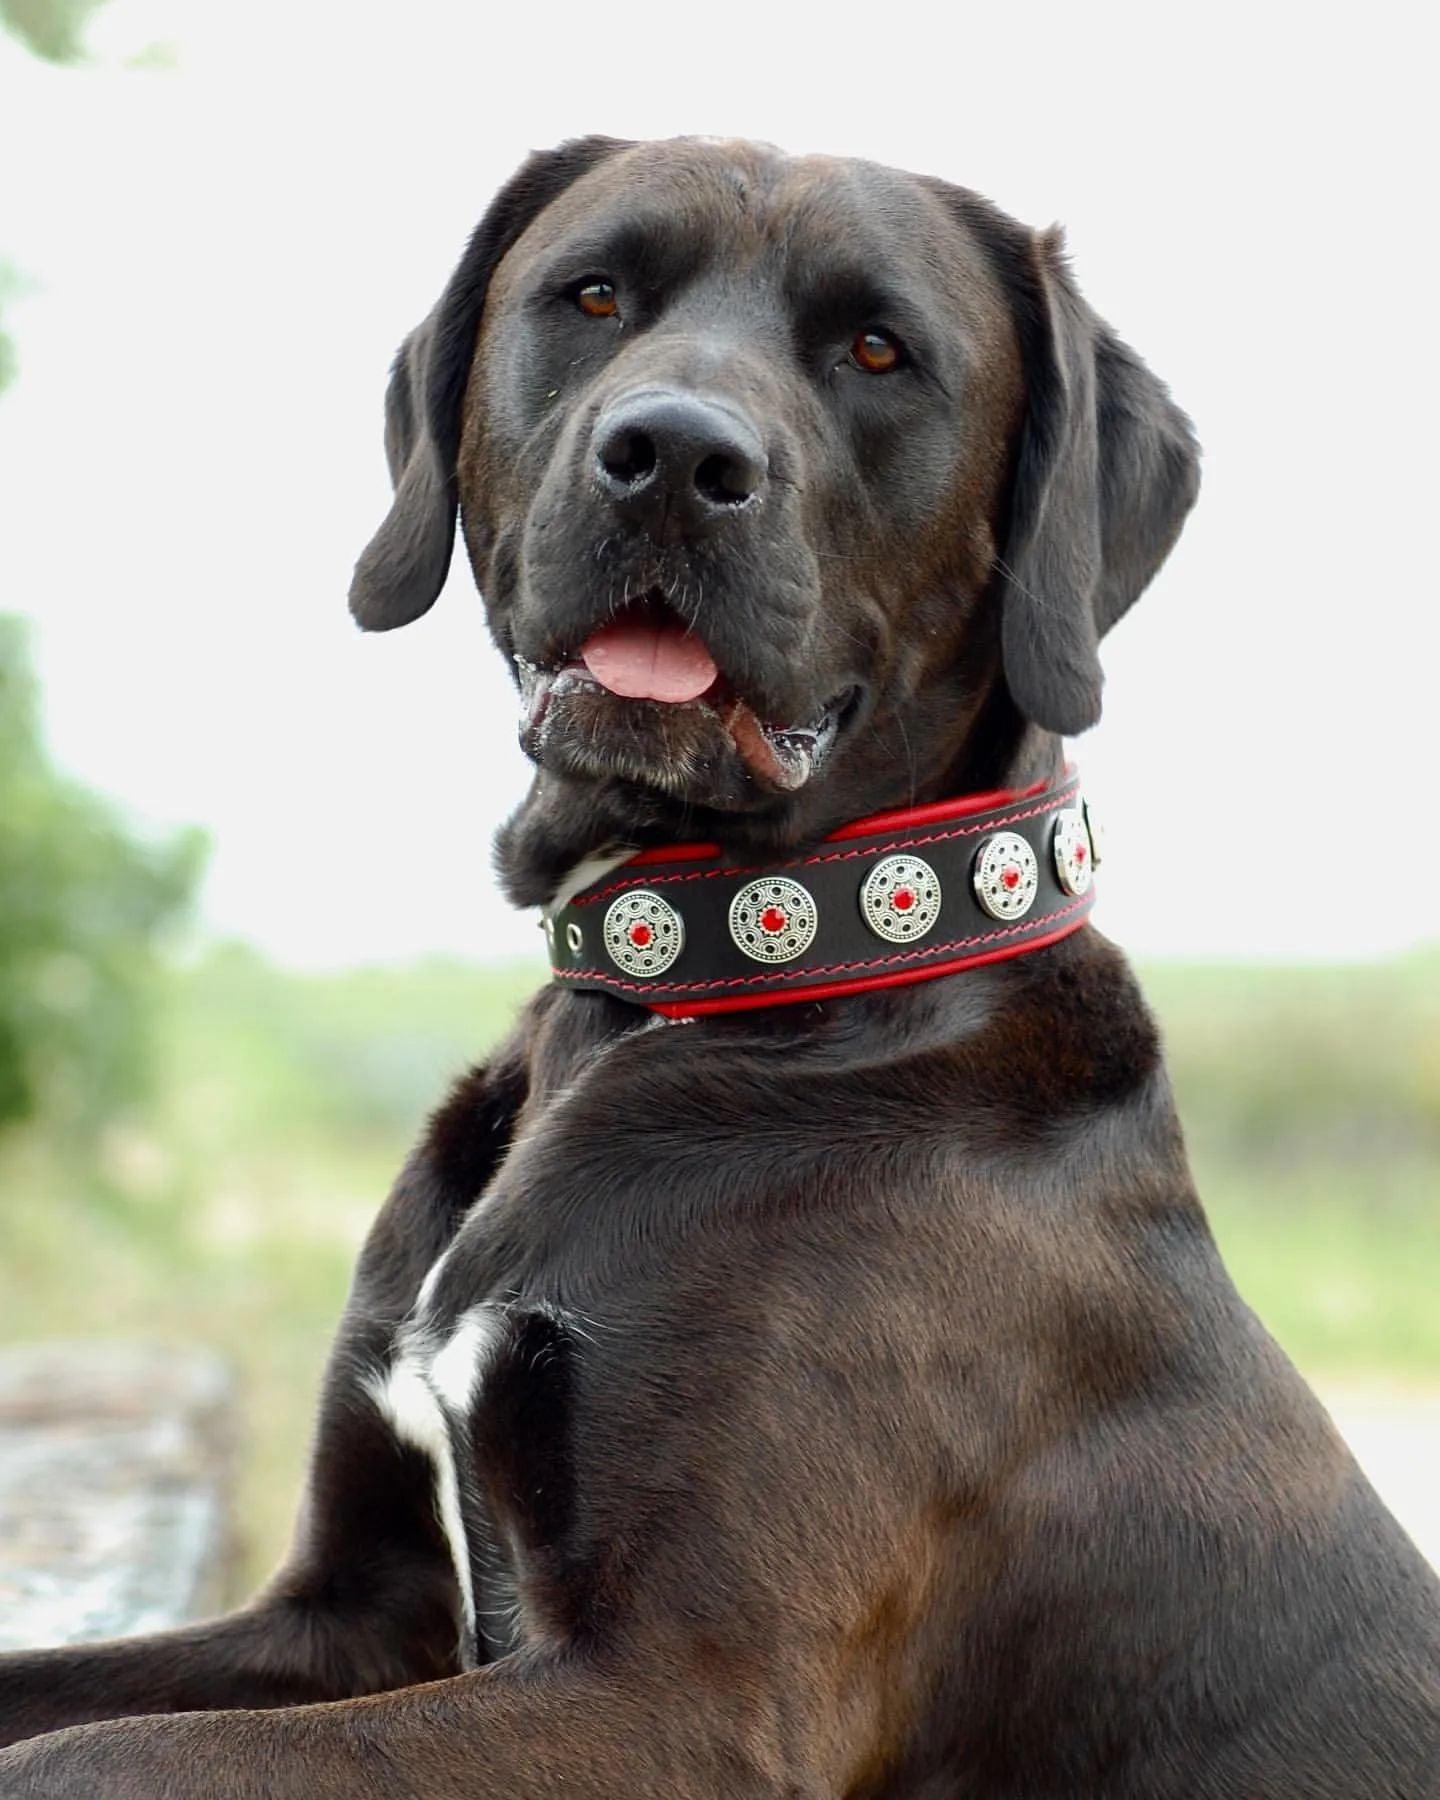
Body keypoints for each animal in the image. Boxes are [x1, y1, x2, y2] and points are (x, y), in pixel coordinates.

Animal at [2, 136, 1440, 1800]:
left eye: (878, 349)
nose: (675, 457)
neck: (679, 982)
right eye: (594, 295)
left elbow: (94, 1754)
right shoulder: (347, 1608)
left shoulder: (685, 1694)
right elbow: (65, 1700)